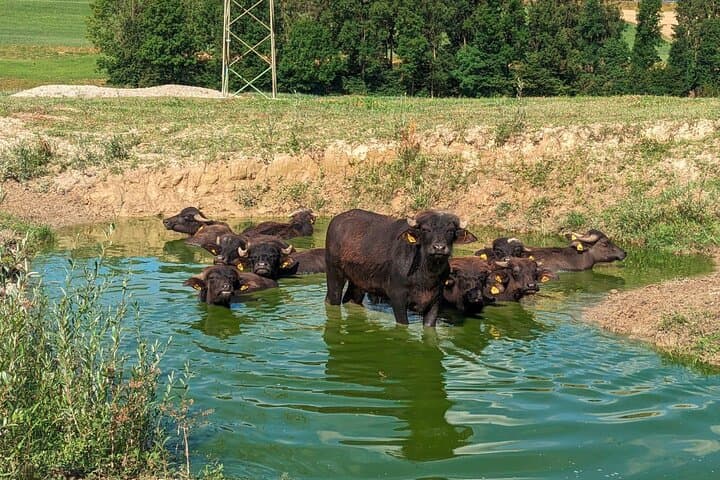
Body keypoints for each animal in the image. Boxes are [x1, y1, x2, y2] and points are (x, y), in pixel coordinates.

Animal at [325, 209, 477, 326]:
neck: (425, 274)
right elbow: (403, 323)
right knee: (333, 298)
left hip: (358, 281)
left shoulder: (435, 301)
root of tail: (336, 220)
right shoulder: (397, 297)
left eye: (450, 230)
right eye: (425, 229)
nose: (439, 247)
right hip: (334, 273)